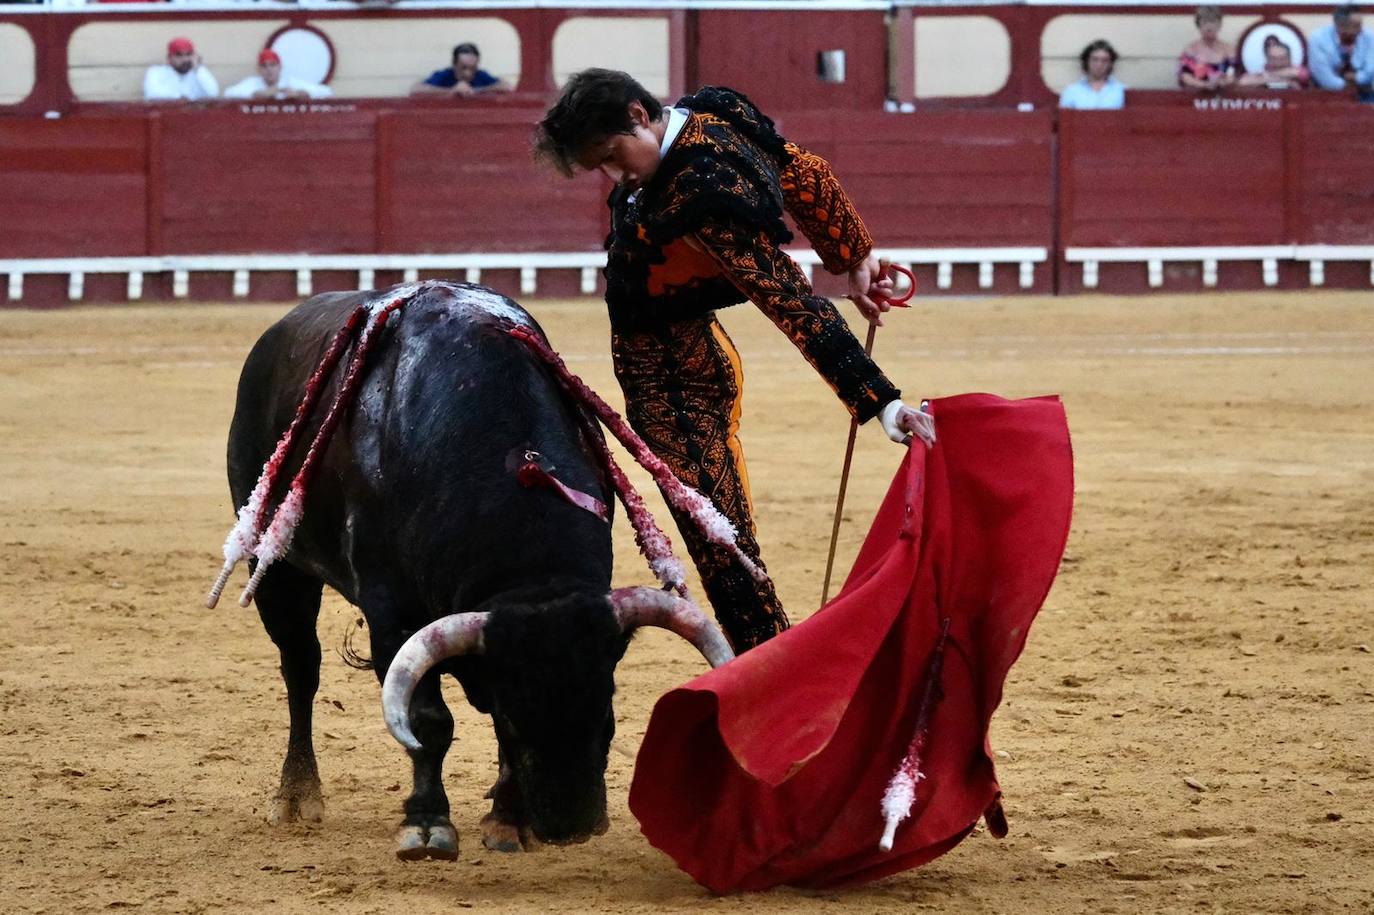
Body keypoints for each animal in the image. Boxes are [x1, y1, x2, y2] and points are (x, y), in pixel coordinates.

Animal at [218, 281, 730, 857]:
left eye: (607, 707)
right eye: (511, 713)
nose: (570, 826)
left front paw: (506, 821)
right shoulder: (391, 613)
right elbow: (427, 720)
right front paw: (426, 825)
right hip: (277, 567)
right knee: (301, 669)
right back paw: (297, 796)